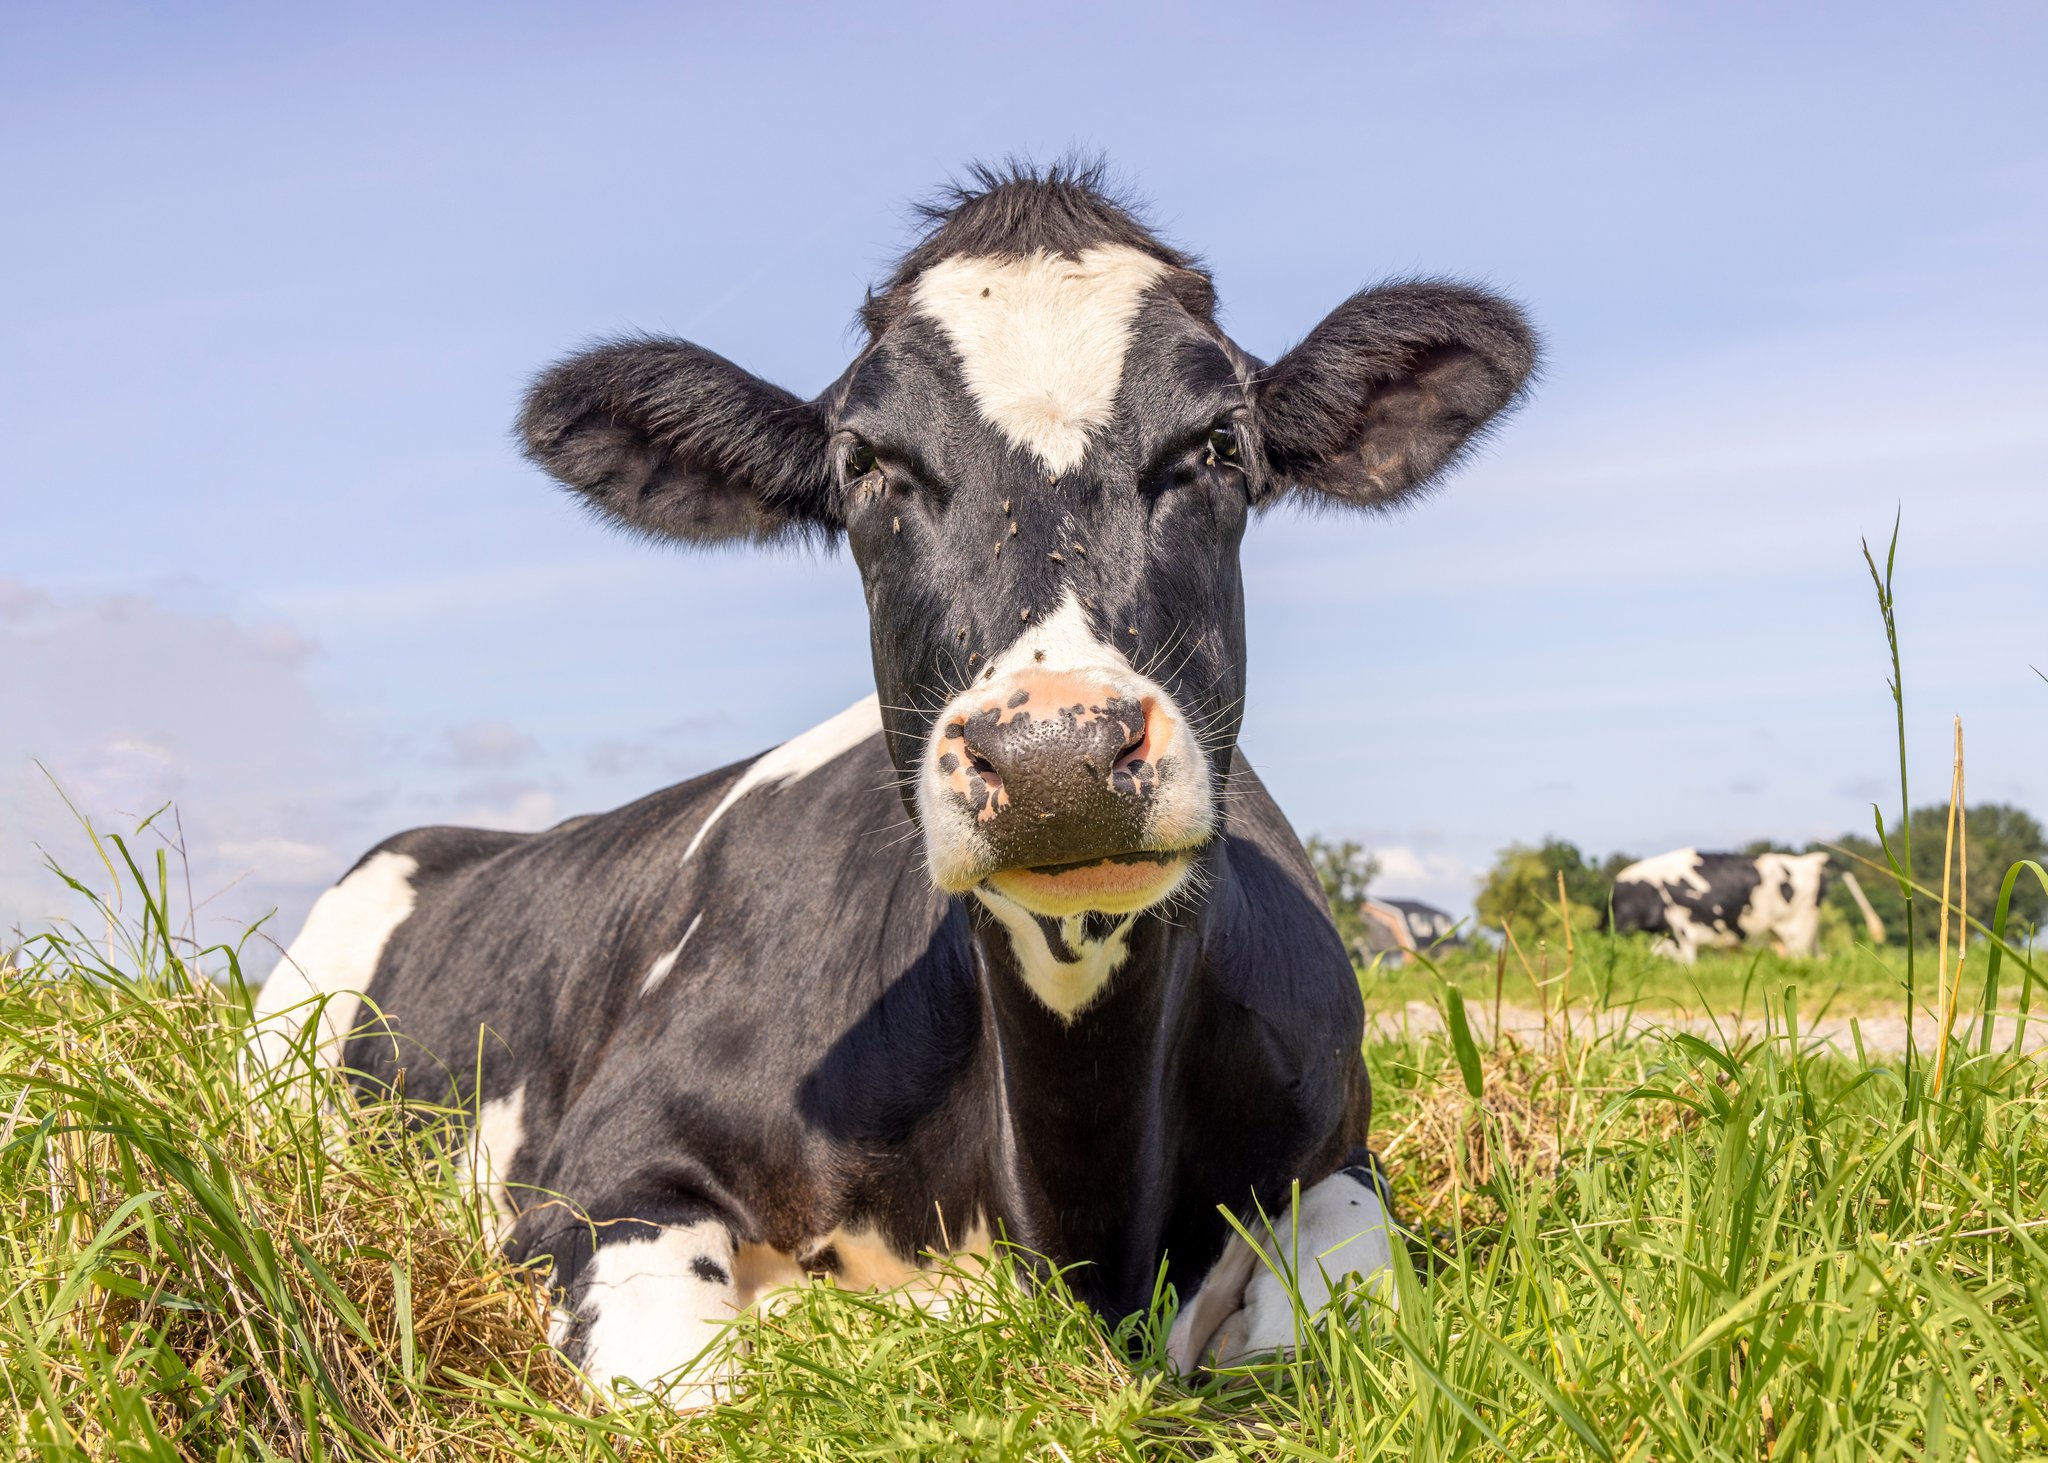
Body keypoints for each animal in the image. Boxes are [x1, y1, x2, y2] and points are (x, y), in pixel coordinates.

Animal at [251, 162, 1537, 1403]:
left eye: (1218, 443)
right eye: (867, 464)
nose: (1055, 753)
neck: (1079, 1203)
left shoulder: (1337, 1149)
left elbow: (1338, 1323)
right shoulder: (599, 1178)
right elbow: (691, 1388)